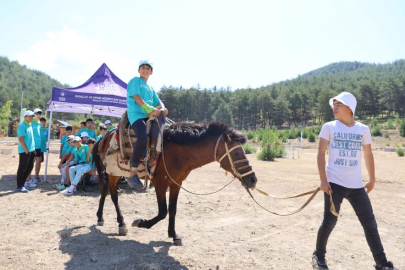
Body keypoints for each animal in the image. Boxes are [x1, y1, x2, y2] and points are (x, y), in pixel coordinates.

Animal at [92, 122, 258, 245]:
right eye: (237, 153)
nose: (253, 180)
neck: (175, 152)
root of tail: (105, 136)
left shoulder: (176, 183)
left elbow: (172, 209)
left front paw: (173, 234)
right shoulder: (160, 183)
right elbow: (163, 211)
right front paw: (141, 223)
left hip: (114, 173)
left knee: (105, 190)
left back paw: (100, 217)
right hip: (113, 172)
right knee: (114, 195)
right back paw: (121, 223)